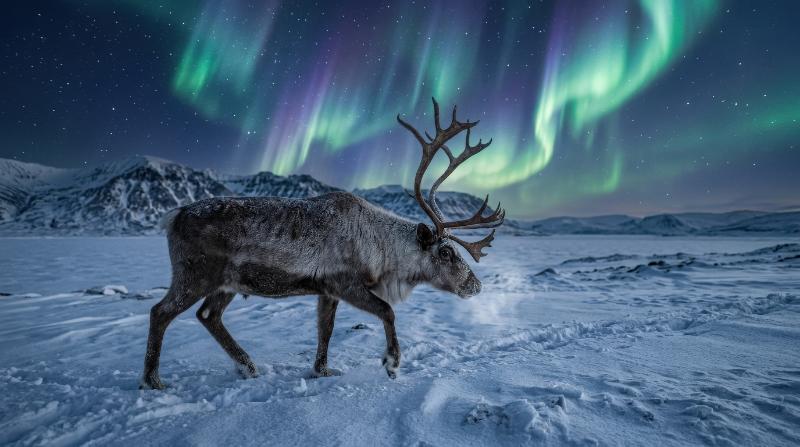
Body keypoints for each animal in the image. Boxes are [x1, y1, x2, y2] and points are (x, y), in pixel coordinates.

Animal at [140, 98, 505, 389]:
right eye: (445, 252)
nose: (475, 285)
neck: (383, 248)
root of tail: (174, 214)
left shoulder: (327, 290)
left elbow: (325, 330)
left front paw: (322, 370)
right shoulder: (346, 283)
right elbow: (387, 311)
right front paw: (392, 363)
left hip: (226, 283)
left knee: (207, 316)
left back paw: (248, 366)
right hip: (195, 275)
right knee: (161, 312)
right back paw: (153, 380)